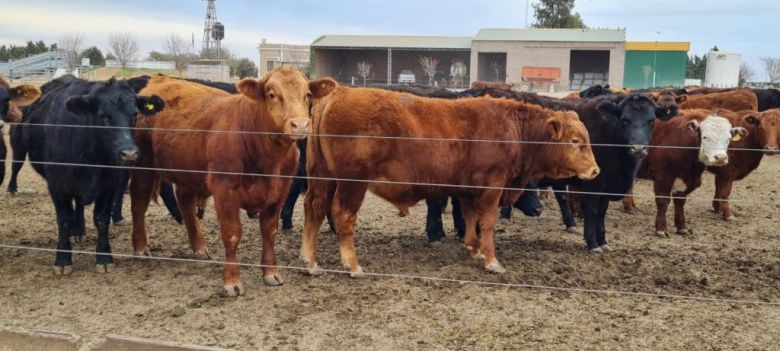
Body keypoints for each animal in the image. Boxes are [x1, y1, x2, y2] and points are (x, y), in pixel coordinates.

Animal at [19, 76, 165, 276]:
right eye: (104, 116)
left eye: (134, 115)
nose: (129, 154)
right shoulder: (57, 186)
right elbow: (64, 220)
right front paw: (63, 260)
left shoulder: (109, 185)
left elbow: (101, 220)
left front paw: (104, 257)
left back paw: (79, 231)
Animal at [130, 66, 336, 296]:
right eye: (272, 94)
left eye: (307, 94)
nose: (300, 125)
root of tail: (157, 80)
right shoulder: (225, 191)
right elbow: (232, 235)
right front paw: (232, 281)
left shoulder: (279, 192)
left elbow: (269, 232)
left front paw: (271, 273)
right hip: (143, 165)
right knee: (139, 202)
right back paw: (141, 248)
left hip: (188, 170)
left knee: (185, 201)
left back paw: (199, 248)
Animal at [302, 85, 600, 276]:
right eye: (576, 141)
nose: (596, 170)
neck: (514, 129)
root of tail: (338, 92)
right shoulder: (492, 187)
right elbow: (487, 223)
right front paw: (491, 260)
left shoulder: (469, 190)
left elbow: (470, 217)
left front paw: (472, 248)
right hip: (352, 182)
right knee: (343, 216)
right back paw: (352, 265)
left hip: (322, 178)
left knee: (314, 209)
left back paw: (310, 262)